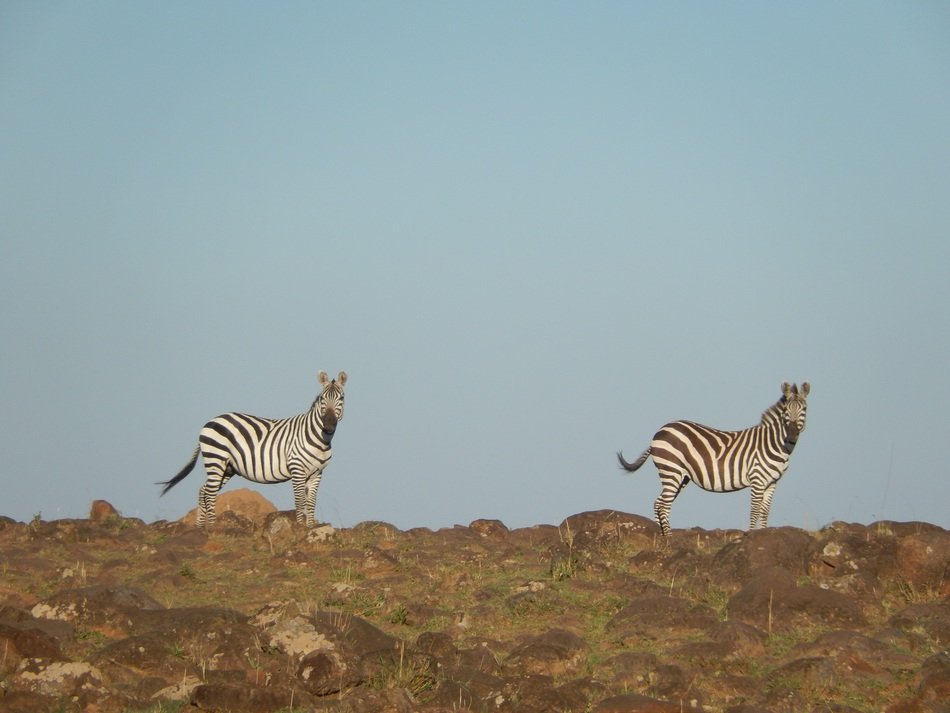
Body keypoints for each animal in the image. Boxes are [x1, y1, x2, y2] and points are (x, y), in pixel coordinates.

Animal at [159, 371, 347, 528]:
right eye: (322, 398)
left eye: (342, 398)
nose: (328, 424)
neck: (320, 441)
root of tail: (210, 421)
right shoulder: (297, 469)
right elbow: (300, 500)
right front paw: (300, 528)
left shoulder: (317, 473)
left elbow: (311, 502)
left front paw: (310, 527)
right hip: (216, 458)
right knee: (210, 492)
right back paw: (211, 528)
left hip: (227, 467)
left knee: (203, 490)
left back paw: (199, 528)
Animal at [617, 382, 809, 536]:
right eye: (786, 411)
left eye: (804, 409)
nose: (792, 434)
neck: (776, 444)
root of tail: (659, 431)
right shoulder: (757, 479)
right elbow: (755, 511)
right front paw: (752, 536)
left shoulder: (772, 482)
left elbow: (764, 512)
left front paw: (763, 534)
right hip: (671, 470)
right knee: (663, 505)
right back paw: (669, 539)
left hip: (680, 476)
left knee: (658, 503)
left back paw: (661, 537)